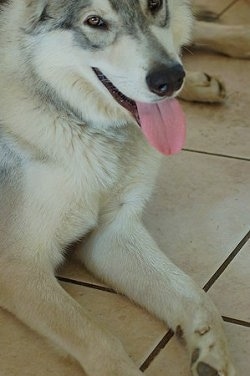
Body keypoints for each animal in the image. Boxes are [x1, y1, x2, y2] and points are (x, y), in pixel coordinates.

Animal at [0, 0, 235, 376]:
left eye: (154, 4)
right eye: (95, 21)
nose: (170, 79)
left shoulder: (113, 232)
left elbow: (194, 294)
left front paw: (210, 348)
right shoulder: (19, 265)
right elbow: (99, 336)